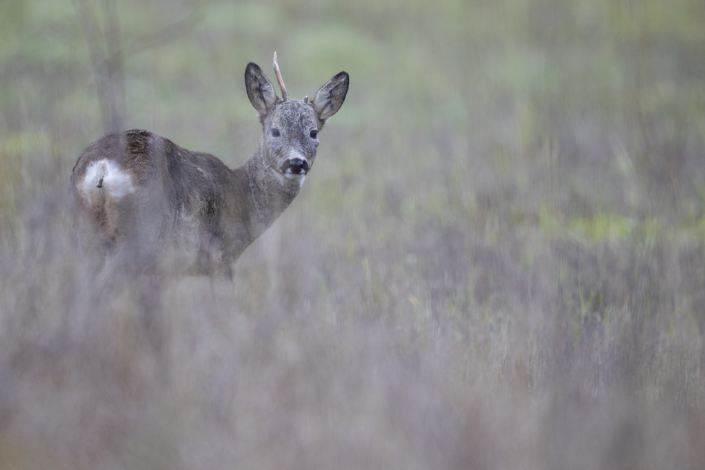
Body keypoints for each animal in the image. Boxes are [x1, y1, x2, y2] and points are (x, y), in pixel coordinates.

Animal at [69, 53, 350, 278]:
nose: (296, 162)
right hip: (140, 234)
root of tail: (102, 168)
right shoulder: (221, 256)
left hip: (86, 233)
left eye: (313, 132)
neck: (243, 197)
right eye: (275, 131)